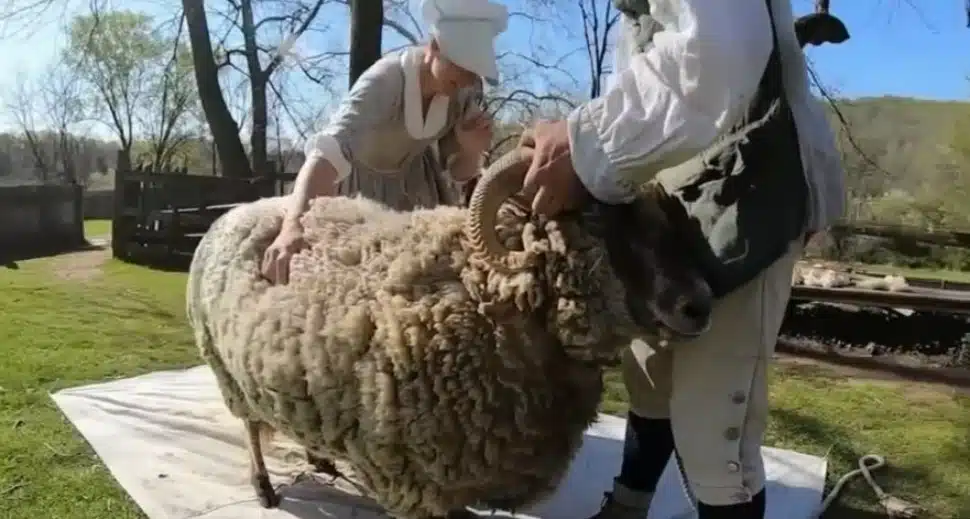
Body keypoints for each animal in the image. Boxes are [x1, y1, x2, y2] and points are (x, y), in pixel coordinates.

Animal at [186, 146, 714, 519]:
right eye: (597, 220)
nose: (699, 305)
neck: (488, 296)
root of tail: (234, 211)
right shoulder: (416, 482)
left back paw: (321, 459)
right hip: (228, 373)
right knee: (250, 427)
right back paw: (264, 487)